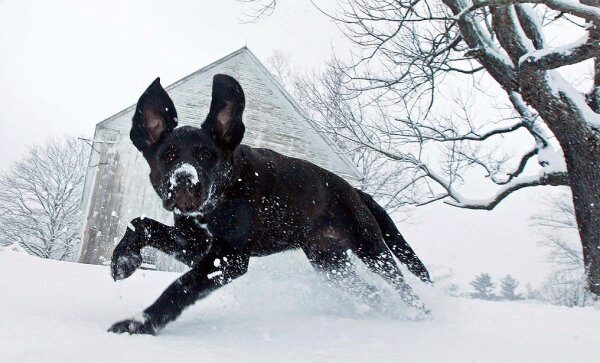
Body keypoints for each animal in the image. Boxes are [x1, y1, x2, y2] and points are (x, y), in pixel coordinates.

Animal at [105, 74, 428, 336]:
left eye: (207, 155)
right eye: (168, 155)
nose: (184, 179)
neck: (221, 197)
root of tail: (356, 191)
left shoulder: (228, 257)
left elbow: (181, 286)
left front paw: (139, 324)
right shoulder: (194, 244)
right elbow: (140, 223)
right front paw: (123, 259)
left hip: (372, 249)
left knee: (403, 285)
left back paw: (421, 315)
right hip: (329, 263)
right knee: (370, 291)